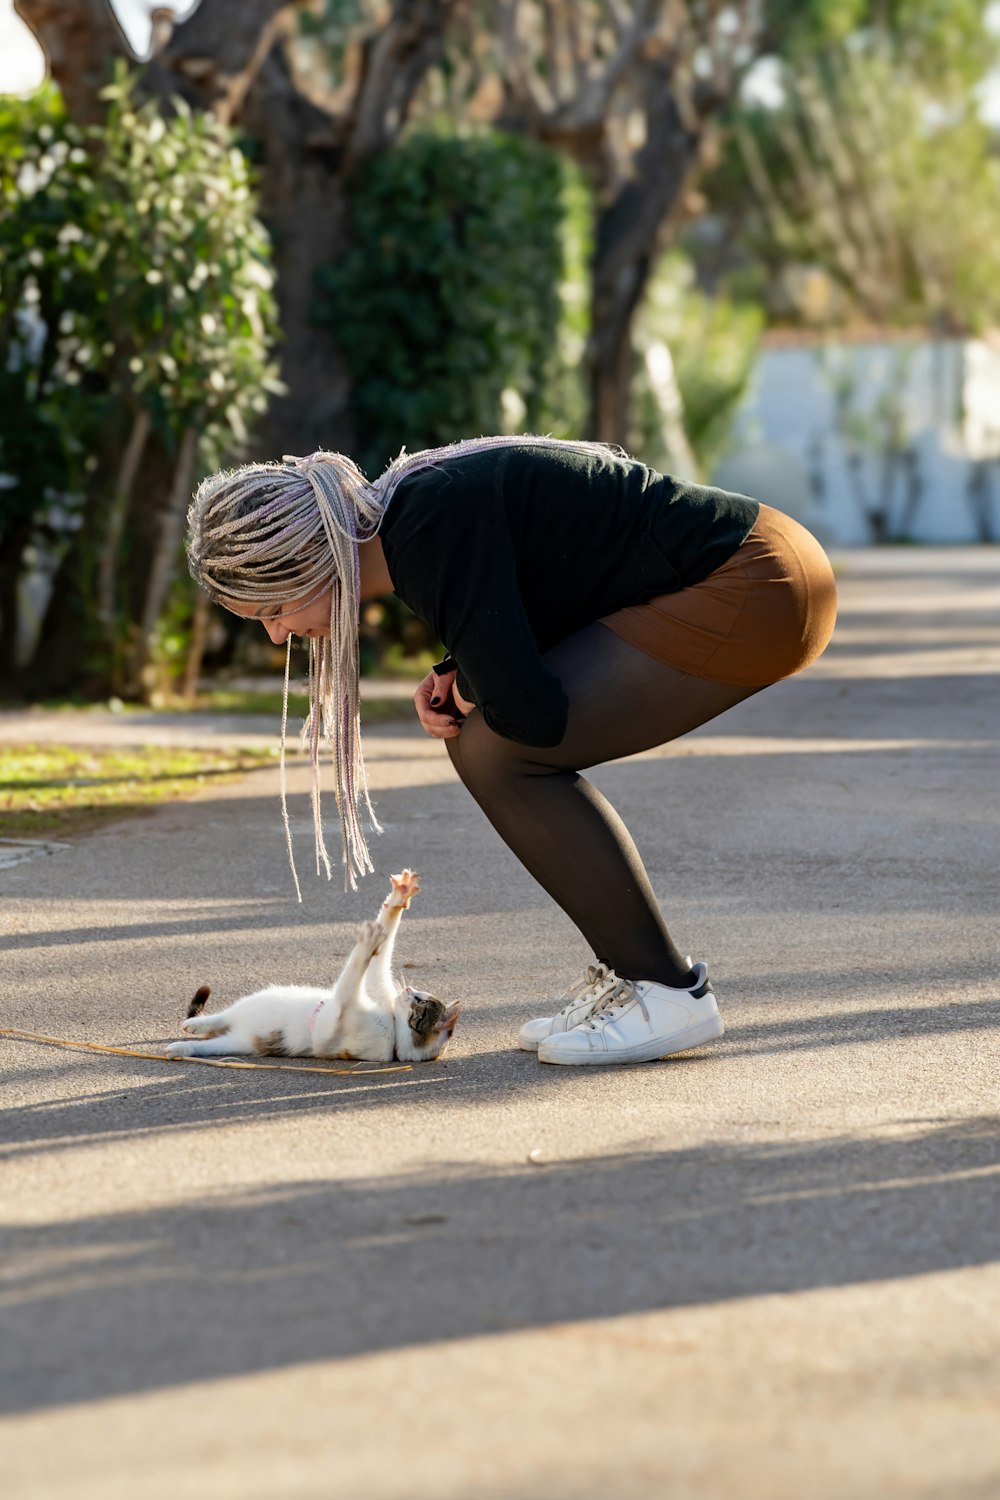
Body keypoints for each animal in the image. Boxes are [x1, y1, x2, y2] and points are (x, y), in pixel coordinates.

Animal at [166, 870, 458, 1068]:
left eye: (420, 1003)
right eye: (420, 994)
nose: (408, 989)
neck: (393, 1028)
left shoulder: (341, 1011)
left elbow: (355, 968)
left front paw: (367, 941)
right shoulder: (376, 988)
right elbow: (382, 947)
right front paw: (398, 898)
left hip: (238, 1042)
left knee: (212, 1041)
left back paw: (181, 1048)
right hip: (253, 1003)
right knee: (222, 1016)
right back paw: (195, 1025)